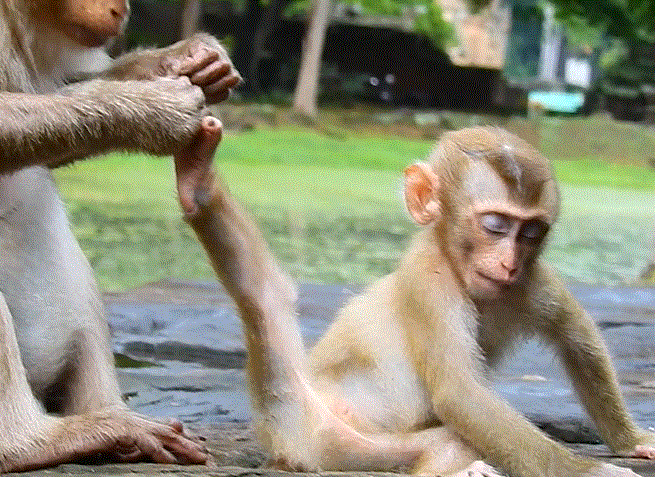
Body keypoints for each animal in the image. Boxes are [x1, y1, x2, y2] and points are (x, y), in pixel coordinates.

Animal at [179, 123, 655, 477]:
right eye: (496, 225)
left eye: (531, 233)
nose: (507, 263)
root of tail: (285, 440)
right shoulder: (430, 281)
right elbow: (460, 393)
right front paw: (591, 471)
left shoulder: (531, 278)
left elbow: (578, 340)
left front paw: (633, 442)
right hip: (318, 430)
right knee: (265, 296)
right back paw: (198, 183)